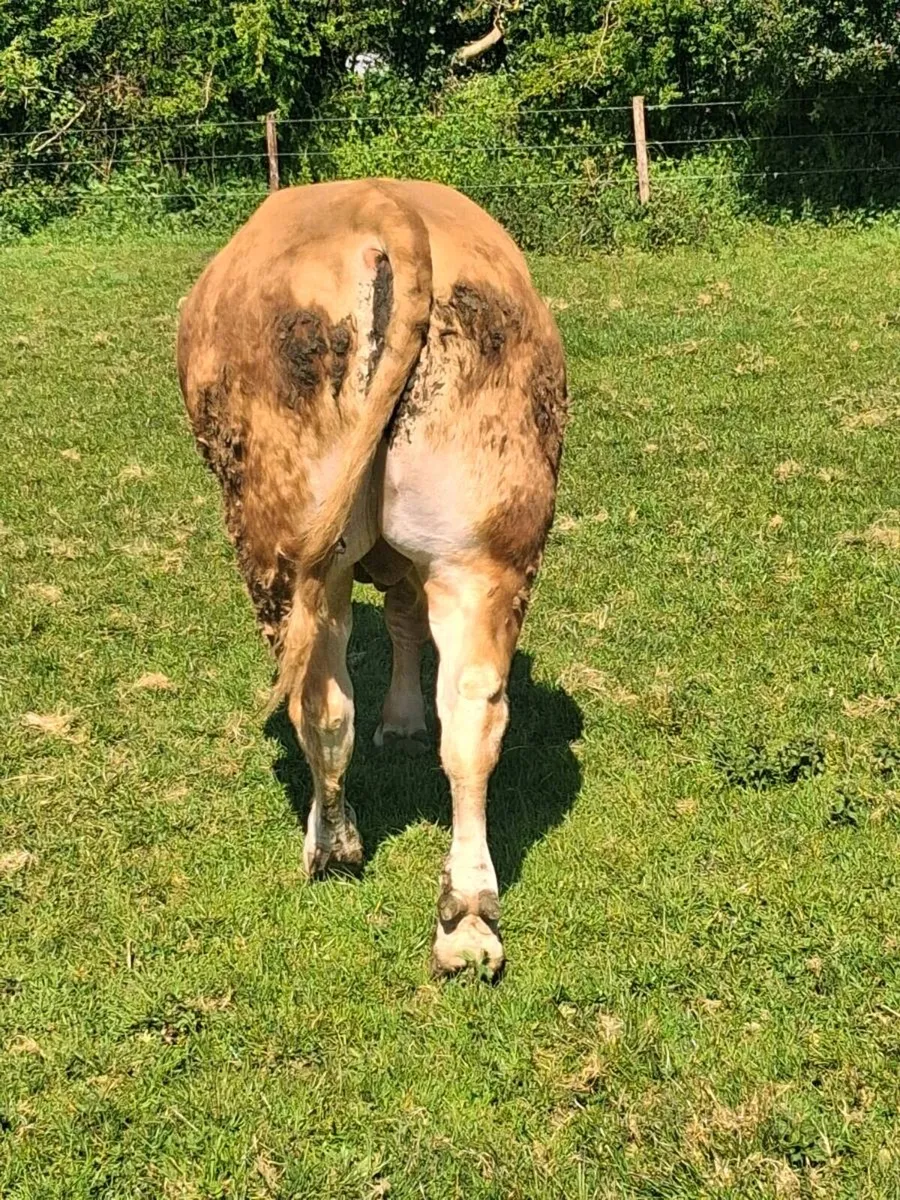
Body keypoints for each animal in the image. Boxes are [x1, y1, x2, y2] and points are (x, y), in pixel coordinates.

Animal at [177, 179, 567, 976]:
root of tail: (385, 203)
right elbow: (404, 617)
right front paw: (406, 722)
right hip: (485, 546)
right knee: (475, 712)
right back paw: (468, 917)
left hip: (288, 554)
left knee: (320, 703)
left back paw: (333, 847)